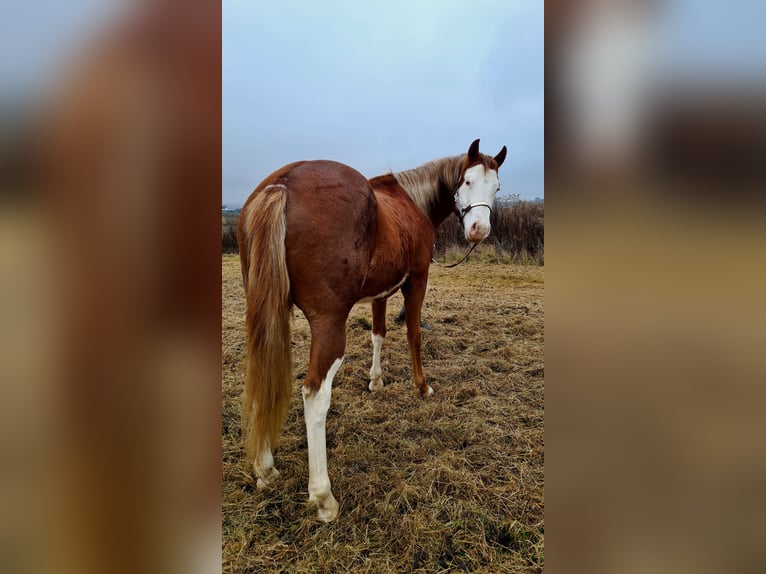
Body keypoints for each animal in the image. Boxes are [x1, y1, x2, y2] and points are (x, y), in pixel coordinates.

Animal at [237, 138, 508, 520]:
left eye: (496, 187)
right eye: (467, 181)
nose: (478, 231)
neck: (411, 204)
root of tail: (281, 185)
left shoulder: (381, 292)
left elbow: (378, 334)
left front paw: (376, 381)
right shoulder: (417, 281)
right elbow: (413, 334)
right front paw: (422, 387)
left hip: (267, 315)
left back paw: (265, 470)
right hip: (329, 325)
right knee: (314, 395)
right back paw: (324, 497)